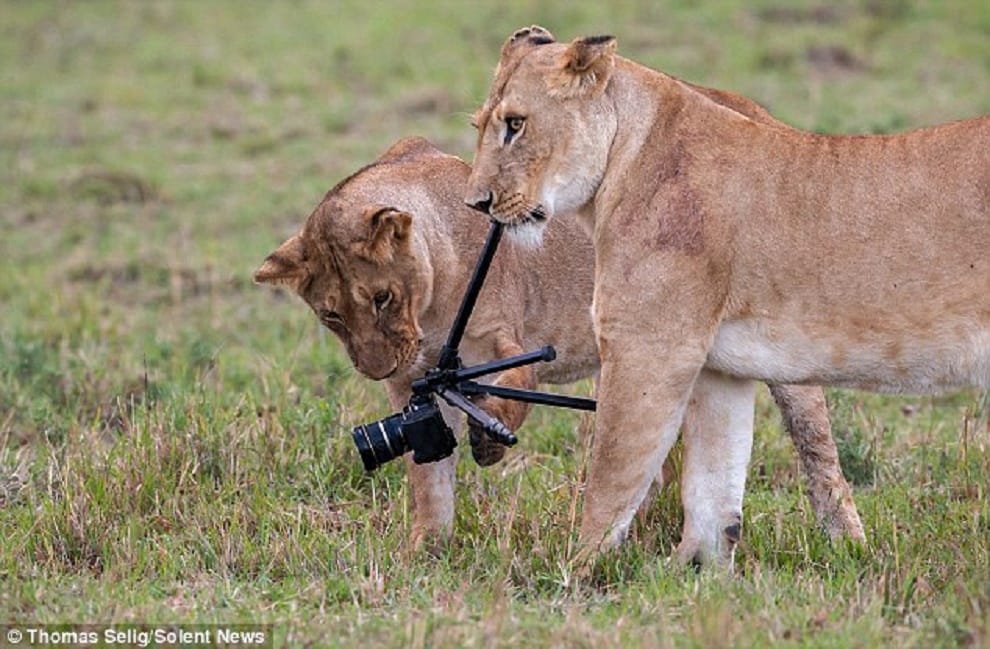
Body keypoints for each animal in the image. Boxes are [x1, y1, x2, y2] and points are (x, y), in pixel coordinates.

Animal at [254, 135, 865, 552]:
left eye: (381, 298)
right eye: (332, 315)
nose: (375, 370)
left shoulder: (507, 335)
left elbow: (516, 384)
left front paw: (490, 442)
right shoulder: (413, 383)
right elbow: (428, 479)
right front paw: (425, 551)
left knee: (819, 452)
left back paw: (846, 539)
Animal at [464, 25, 989, 567]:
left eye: (516, 124)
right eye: (479, 125)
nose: (476, 203)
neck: (622, 159)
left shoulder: (648, 350)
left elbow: (611, 476)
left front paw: (574, 571)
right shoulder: (720, 370)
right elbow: (713, 489)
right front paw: (697, 572)